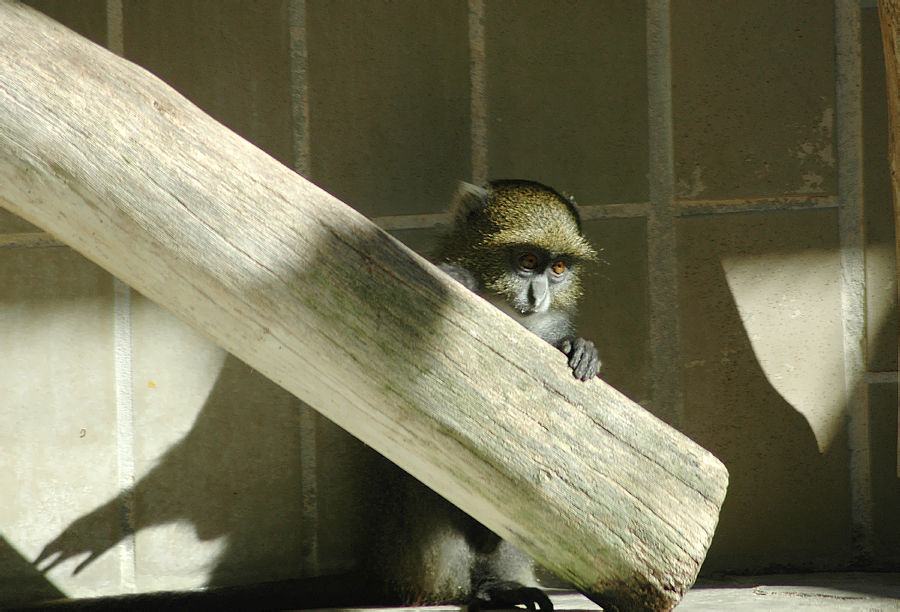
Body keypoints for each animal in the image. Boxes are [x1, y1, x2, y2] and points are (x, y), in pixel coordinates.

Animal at [370, 179, 600, 612]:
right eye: (528, 260)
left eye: (559, 268)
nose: (540, 297)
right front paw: (462, 279)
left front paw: (579, 346)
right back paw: (470, 593)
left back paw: (499, 584)